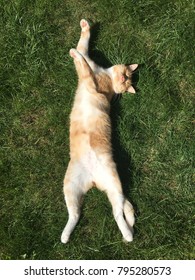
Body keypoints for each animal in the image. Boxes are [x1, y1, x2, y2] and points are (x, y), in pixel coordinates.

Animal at [60, 19, 138, 243]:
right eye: (126, 75)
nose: (124, 79)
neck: (105, 75)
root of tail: (93, 180)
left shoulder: (90, 82)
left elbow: (83, 63)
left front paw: (74, 54)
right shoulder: (89, 63)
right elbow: (83, 46)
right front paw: (84, 28)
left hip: (114, 182)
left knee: (118, 211)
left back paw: (128, 234)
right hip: (70, 187)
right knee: (75, 214)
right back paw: (65, 235)